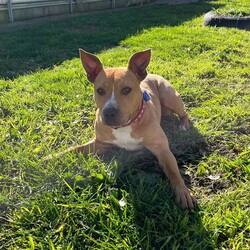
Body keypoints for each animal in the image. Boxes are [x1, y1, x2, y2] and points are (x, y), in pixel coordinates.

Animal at [47, 48, 195, 209]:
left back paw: (184, 125)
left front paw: (183, 192)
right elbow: (74, 149)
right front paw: (48, 158)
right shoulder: (100, 143)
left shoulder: (161, 148)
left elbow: (173, 172)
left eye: (126, 90)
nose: (109, 112)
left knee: (184, 113)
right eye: (100, 91)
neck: (124, 126)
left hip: (170, 96)